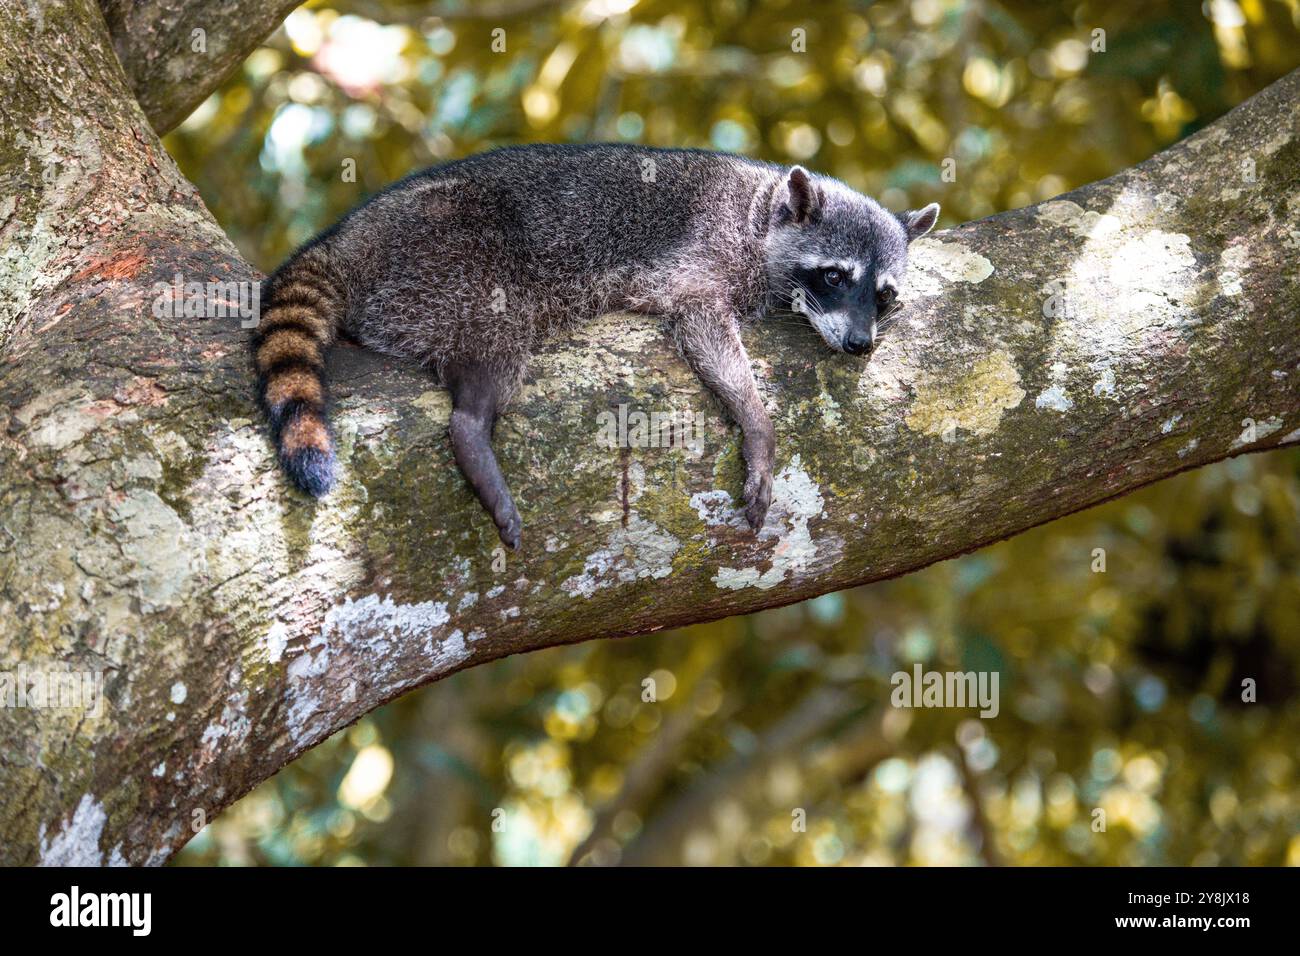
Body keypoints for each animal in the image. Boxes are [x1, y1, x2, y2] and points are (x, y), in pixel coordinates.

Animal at [250, 141, 935, 546]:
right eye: (835, 277)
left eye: (884, 295)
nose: (860, 345)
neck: (762, 208)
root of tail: (348, 239)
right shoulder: (701, 254)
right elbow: (701, 324)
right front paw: (756, 424)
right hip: (455, 261)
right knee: (495, 344)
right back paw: (473, 424)